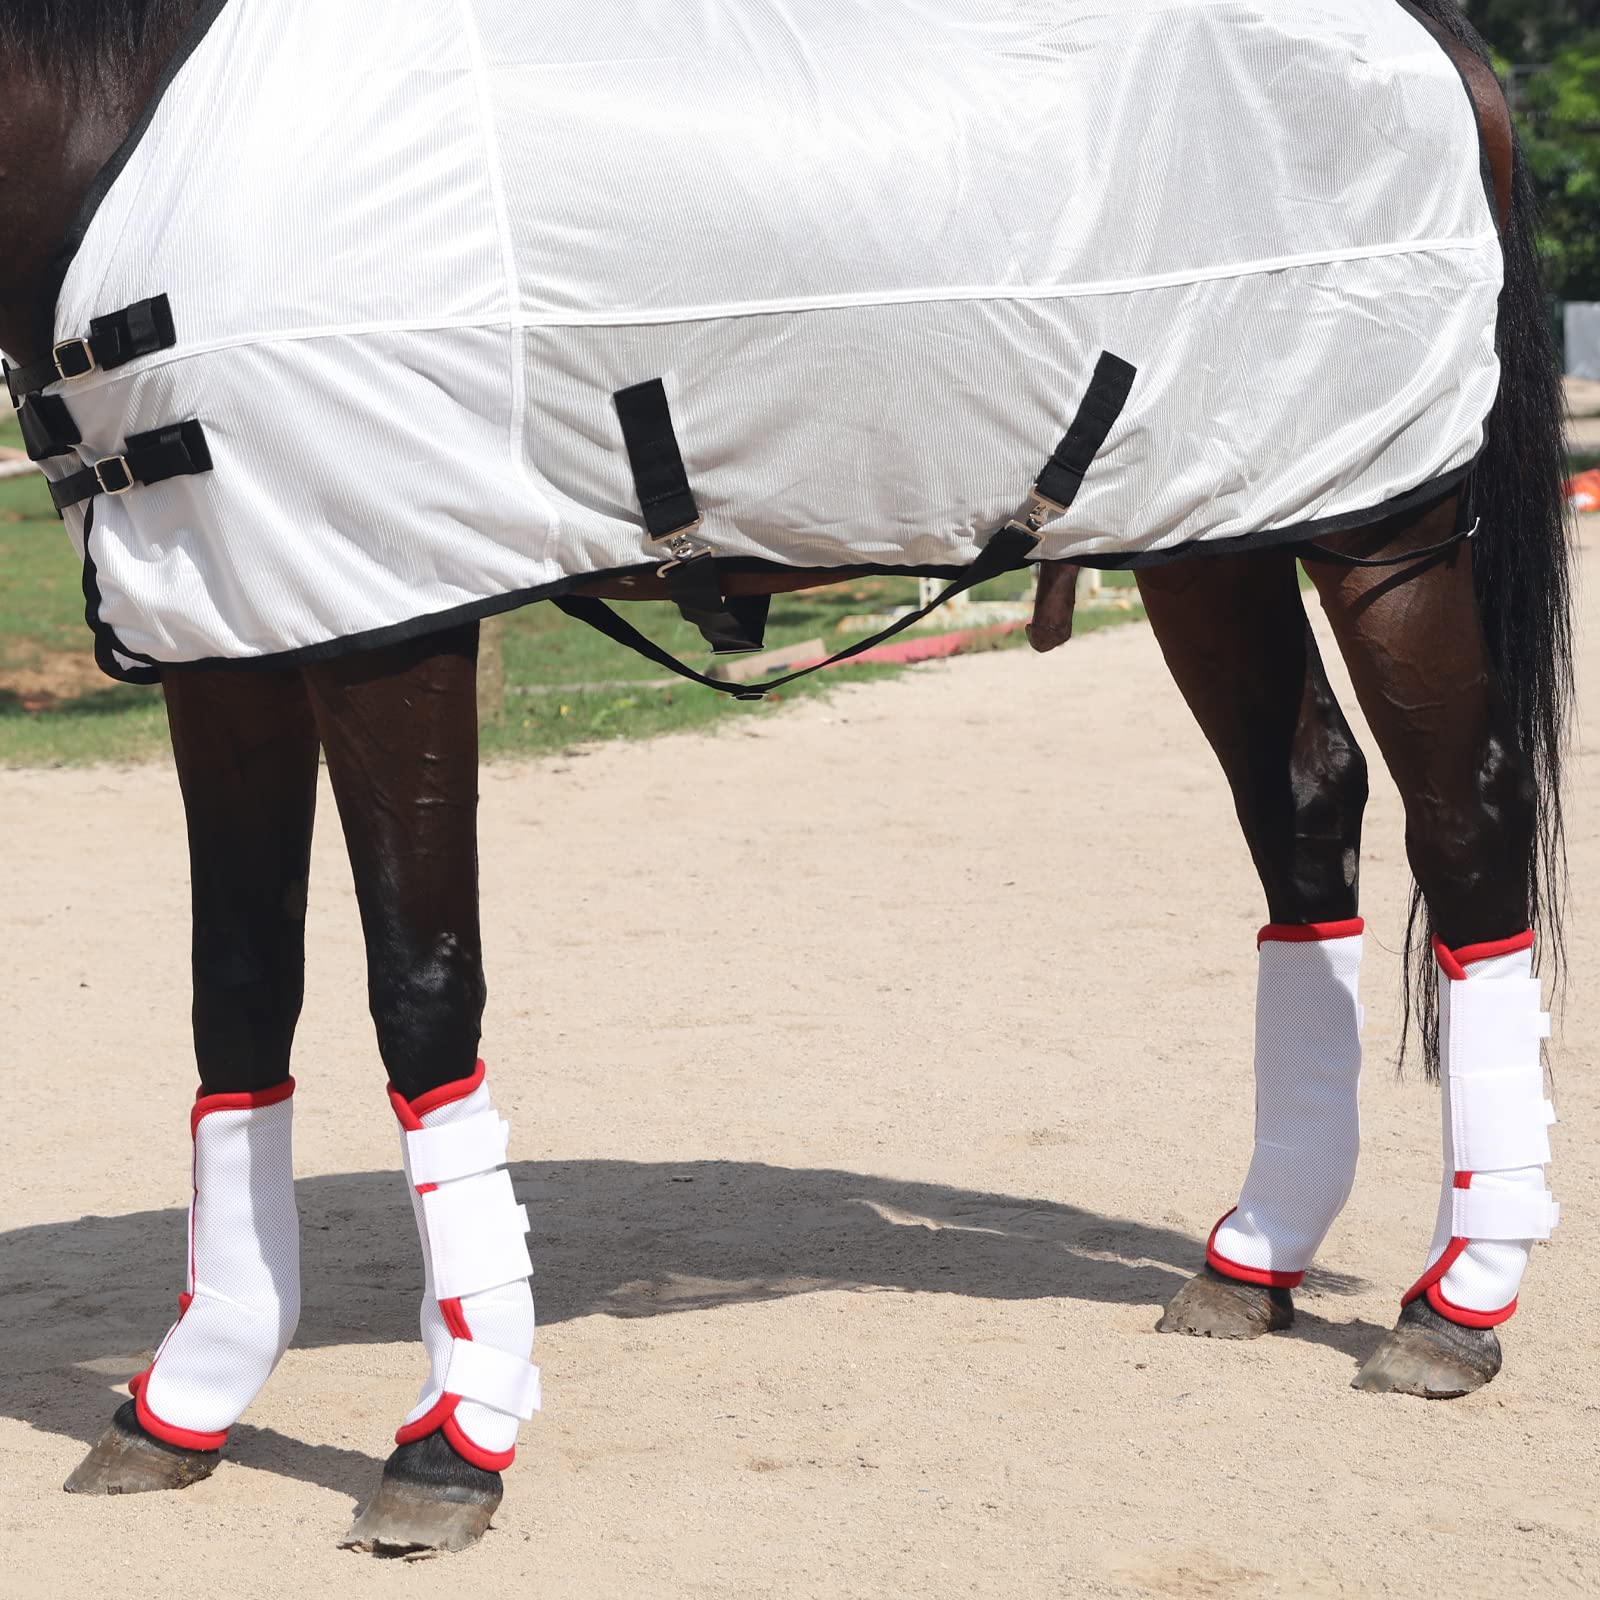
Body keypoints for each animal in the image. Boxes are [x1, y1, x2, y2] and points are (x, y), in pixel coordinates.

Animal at [0, 0, 1570, 1558]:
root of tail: (1432, 38)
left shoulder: (394, 629)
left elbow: (422, 988)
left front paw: (452, 1442)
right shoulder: (229, 643)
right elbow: (237, 995)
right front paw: (183, 1403)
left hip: (1383, 530)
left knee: (1465, 814)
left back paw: (1455, 1305)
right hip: (1215, 534)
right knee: (1303, 806)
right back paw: (1254, 1260)